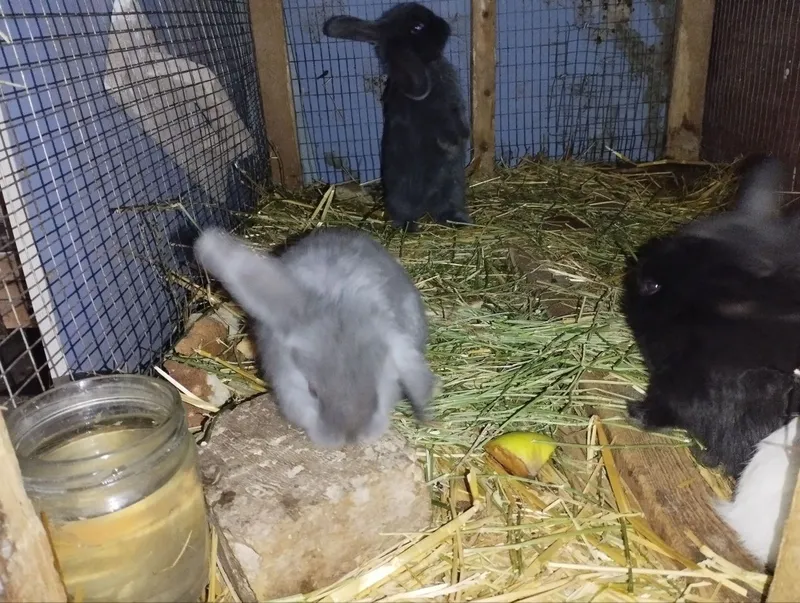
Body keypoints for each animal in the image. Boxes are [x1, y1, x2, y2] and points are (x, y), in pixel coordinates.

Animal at [323, 2, 471, 232]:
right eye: (417, 27)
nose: (445, 26)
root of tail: (425, 205)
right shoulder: (450, 106)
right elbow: (453, 122)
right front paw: (463, 136)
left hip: (451, 186)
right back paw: (411, 227)